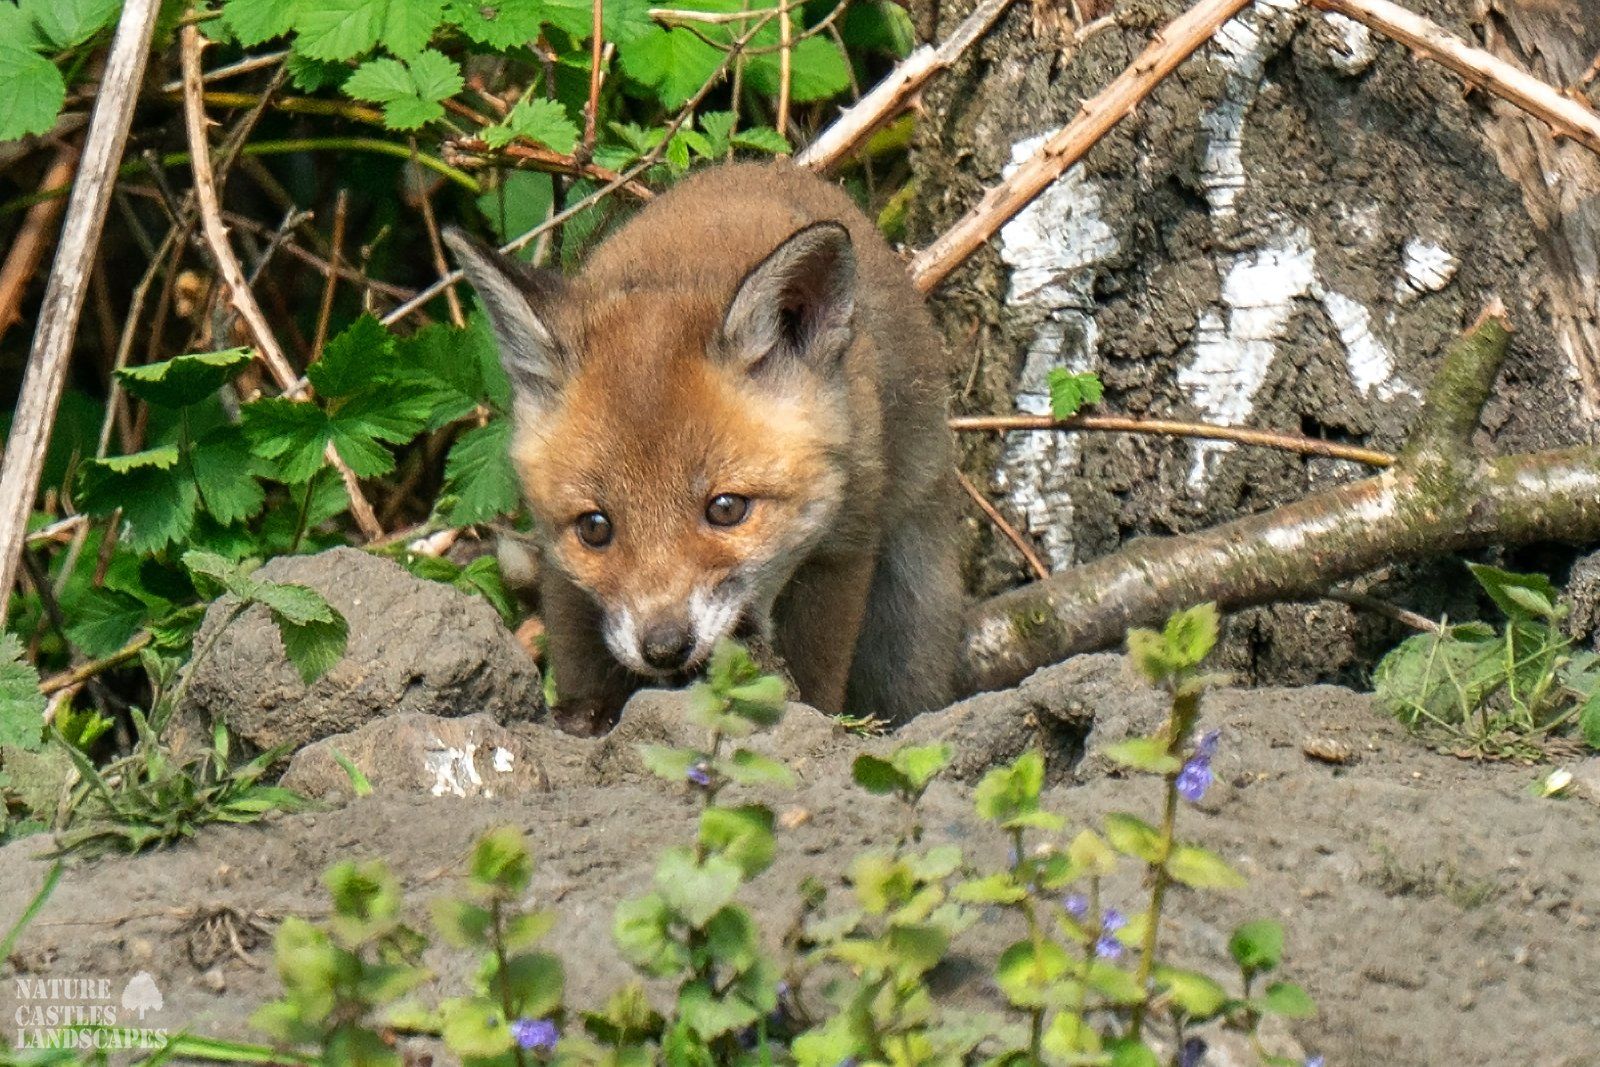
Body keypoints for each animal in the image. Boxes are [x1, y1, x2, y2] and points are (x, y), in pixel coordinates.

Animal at [445, 161, 961, 733]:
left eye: (726, 508)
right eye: (595, 527)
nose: (665, 647)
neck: (685, 268)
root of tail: (760, 166)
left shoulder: (843, 547)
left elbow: (817, 679)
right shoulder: (565, 570)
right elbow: (583, 660)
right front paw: (585, 718)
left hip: (911, 591)